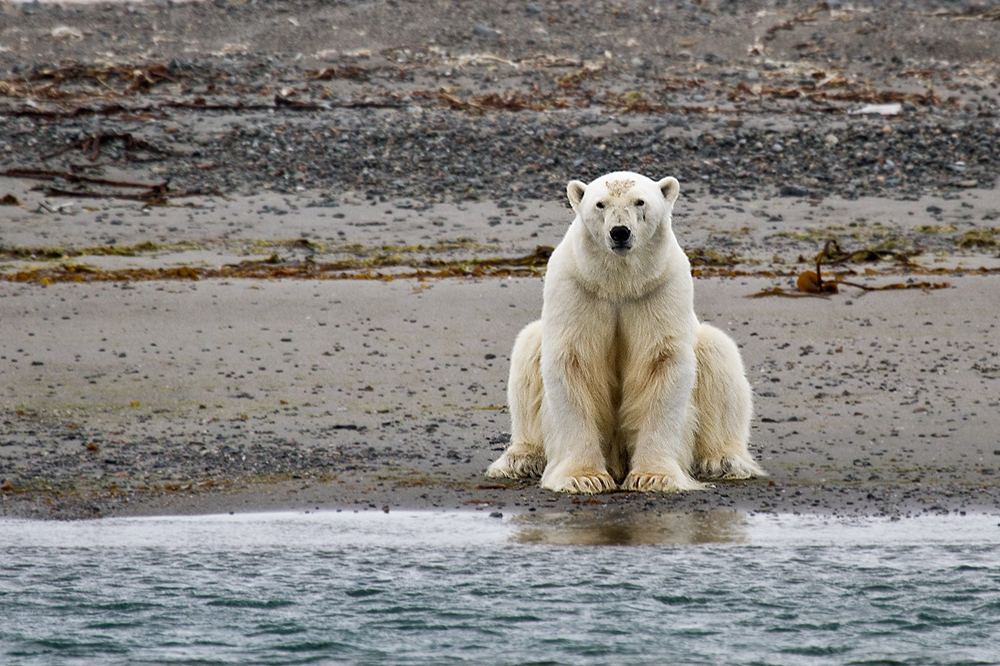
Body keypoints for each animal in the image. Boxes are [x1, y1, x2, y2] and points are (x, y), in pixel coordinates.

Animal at [486, 171, 764, 492]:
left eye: (640, 201)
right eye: (600, 204)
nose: (620, 232)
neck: (619, 284)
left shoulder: (659, 289)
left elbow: (661, 362)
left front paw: (654, 476)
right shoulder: (578, 287)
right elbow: (572, 362)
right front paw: (584, 477)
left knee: (719, 357)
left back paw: (723, 460)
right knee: (528, 351)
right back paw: (520, 459)